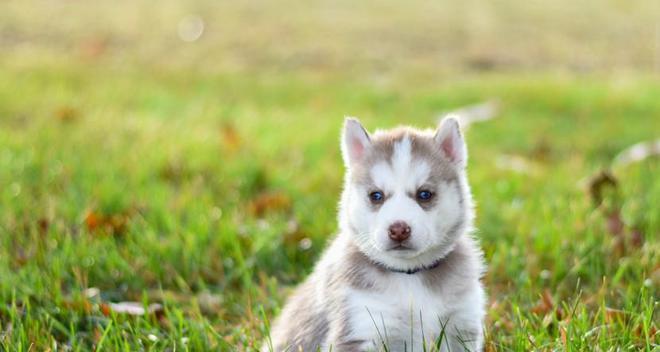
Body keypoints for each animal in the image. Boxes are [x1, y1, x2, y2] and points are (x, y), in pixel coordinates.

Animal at [266, 117, 488, 350]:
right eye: (376, 195)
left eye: (424, 194)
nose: (399, 229)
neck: (409, 276)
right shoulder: (361, 326)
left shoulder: (461, 325)